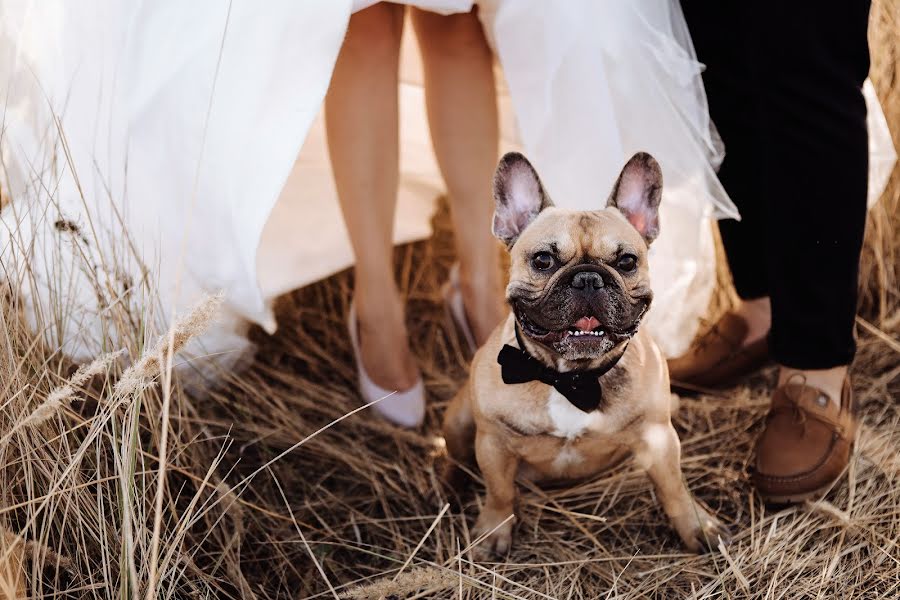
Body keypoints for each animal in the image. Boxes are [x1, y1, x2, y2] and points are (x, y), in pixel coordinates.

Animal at [444, 152, 732, 556]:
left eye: (626, 262)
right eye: (543, 260)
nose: (588, 278)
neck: (569, 377)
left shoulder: (659, 438)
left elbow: (674, 486)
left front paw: (697, 526)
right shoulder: (492, 443)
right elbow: (499, 492)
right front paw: (492, 531)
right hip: (458, 421)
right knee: (453, 458)